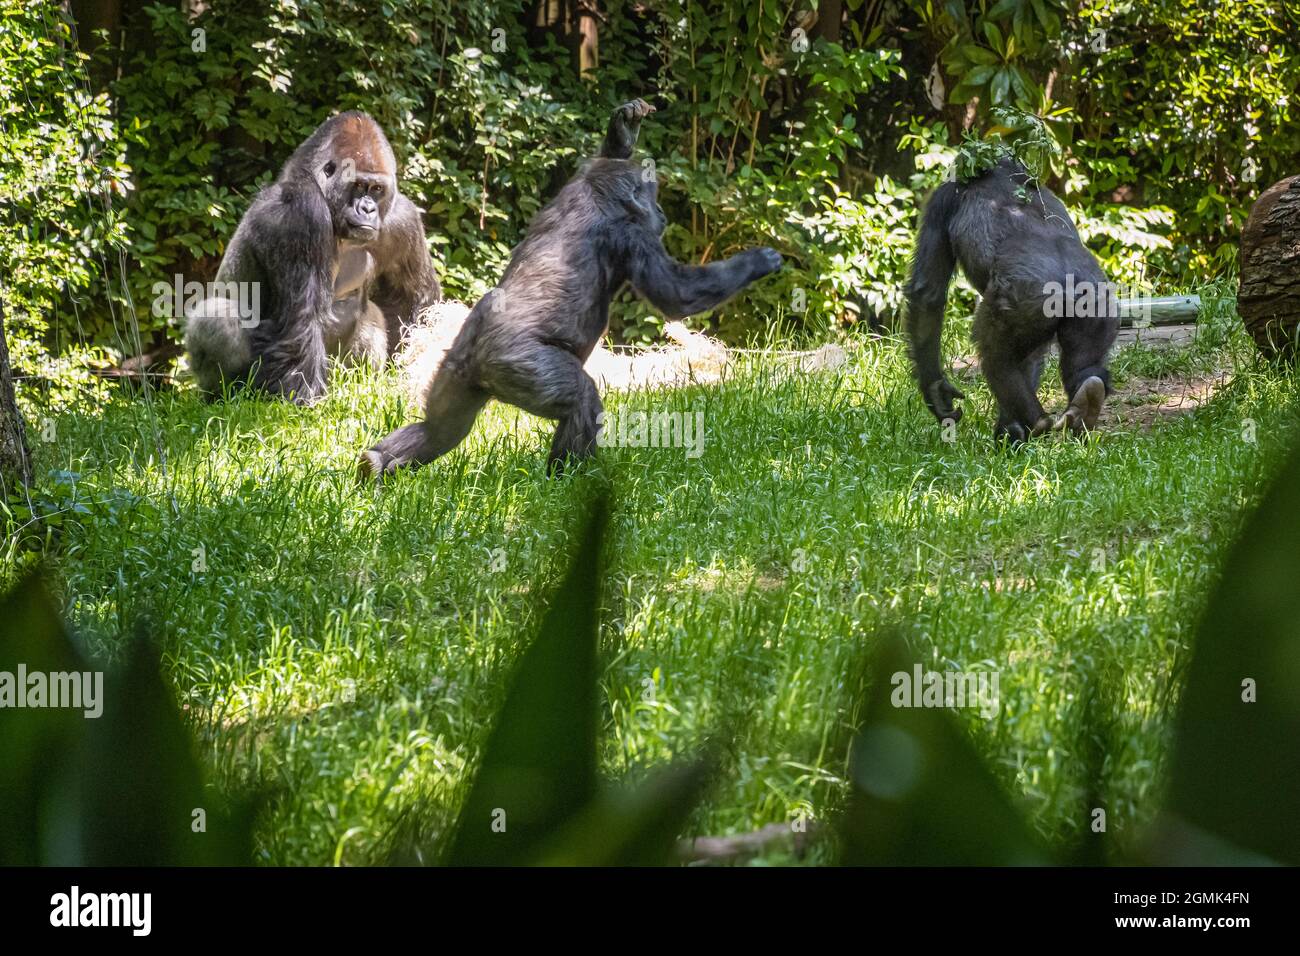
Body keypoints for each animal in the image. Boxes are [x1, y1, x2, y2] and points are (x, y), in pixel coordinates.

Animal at [184, 111, 441, 403]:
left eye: (376, 189)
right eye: (358, 185)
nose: (367, 209)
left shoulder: (401, 219)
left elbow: (413, 299)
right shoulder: (303, 210)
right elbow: (303, 321)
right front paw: (306, 401)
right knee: (217, 314)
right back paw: (228, 395)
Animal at [356, 98, 780, 478]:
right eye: (652, 199)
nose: (661, 213)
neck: (598, 198)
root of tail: (476, 354)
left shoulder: (575, 184)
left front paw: (623, 129)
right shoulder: (632, 235)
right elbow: (676, 293)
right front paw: (758, 261)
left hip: (455, 369)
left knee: (442, 429)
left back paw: (375, 463)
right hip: (520, 365)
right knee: (580, 400)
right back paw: (570, 482)